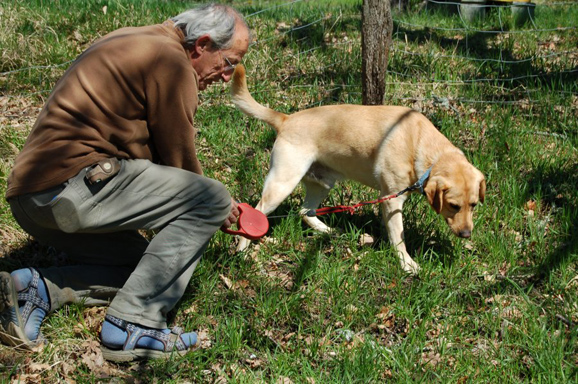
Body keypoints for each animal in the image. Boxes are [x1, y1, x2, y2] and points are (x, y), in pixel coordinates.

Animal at [228, 65, 482, 272]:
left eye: (474, 205)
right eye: (453, 205)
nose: (467, 234)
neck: (420, 144)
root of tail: (286, 119)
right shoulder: (392, 200)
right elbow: (399, 236)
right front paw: (406, 264)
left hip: (322, 184)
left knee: (304, 211)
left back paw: (326, 231)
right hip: (282, 184)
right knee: (259, 211)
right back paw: (242, 250)